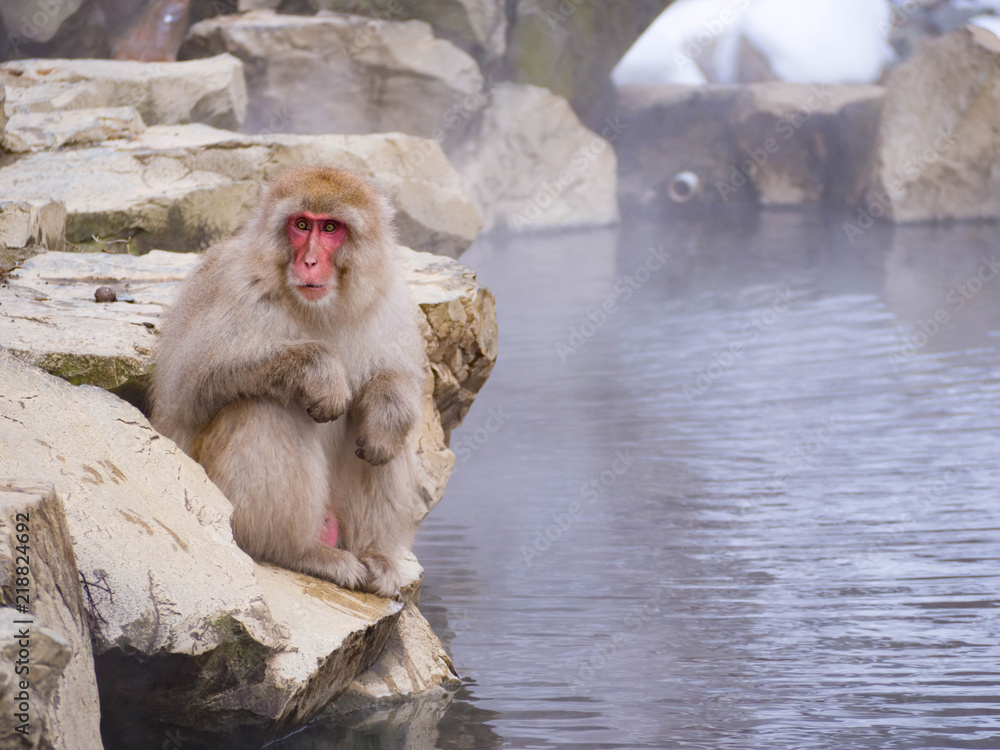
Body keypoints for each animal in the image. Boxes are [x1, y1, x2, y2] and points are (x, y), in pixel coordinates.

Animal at [150, 166, 424, 600]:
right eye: (301, 225)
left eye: (330, 227)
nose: (310, 260)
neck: (320, 310)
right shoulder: (234, 286)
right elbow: (190, 385)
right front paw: (321, 369)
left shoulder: (389, 297)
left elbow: (396, 378)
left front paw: (387, 412)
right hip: (222, 508)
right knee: (267, 405)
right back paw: (298, 552)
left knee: (381, 437)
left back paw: (377, 556)